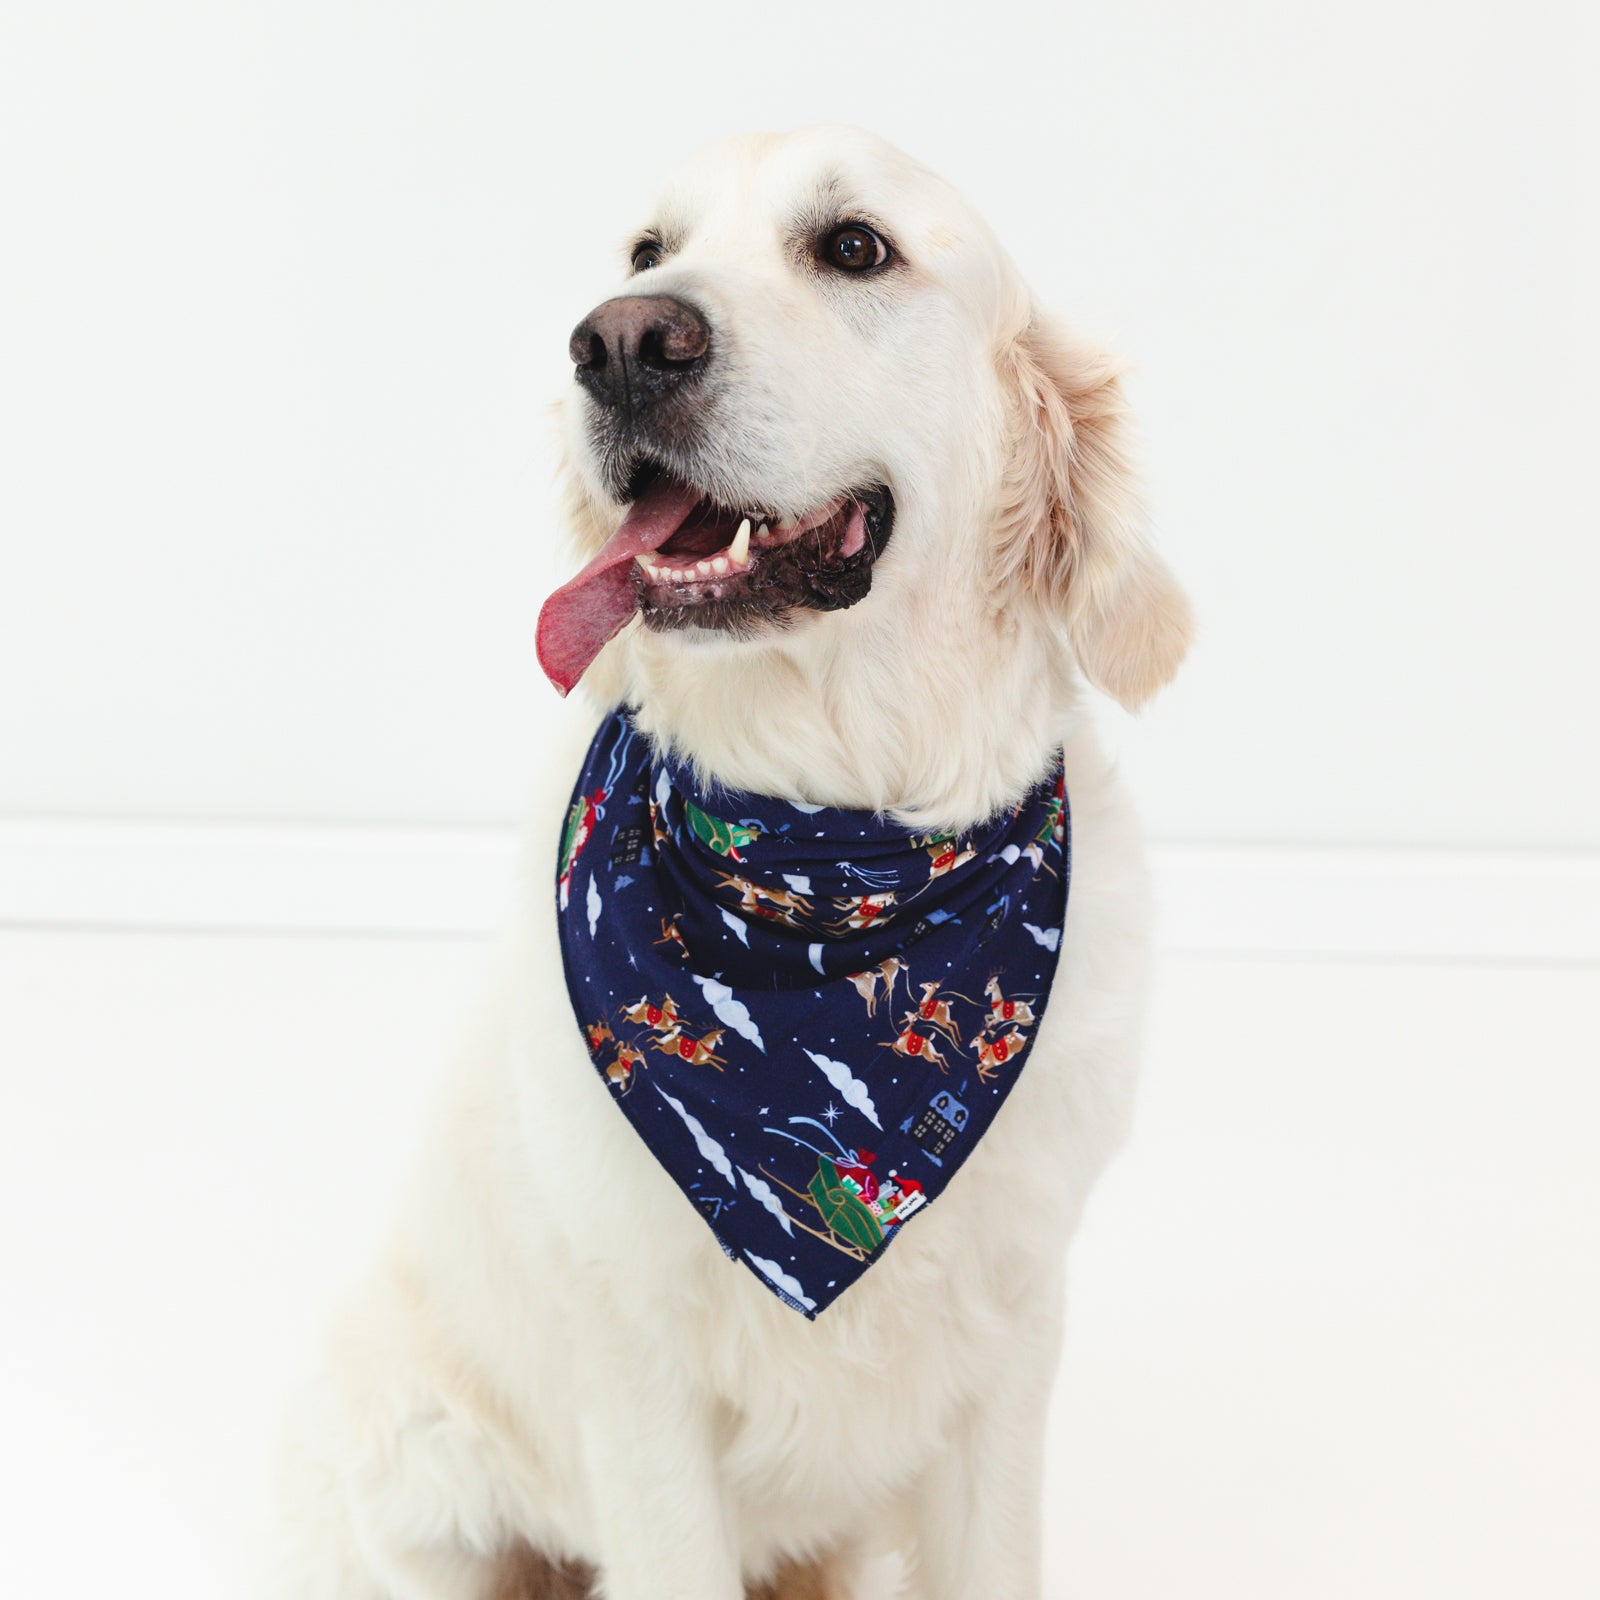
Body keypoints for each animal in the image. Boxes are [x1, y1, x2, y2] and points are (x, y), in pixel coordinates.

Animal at [272, 124, 1190, 1600]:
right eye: (648, 251)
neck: (823, 861)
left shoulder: (1007, 1344)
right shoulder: (637, 1380)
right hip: (418, 1468)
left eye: (856, 246)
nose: (618, 342)